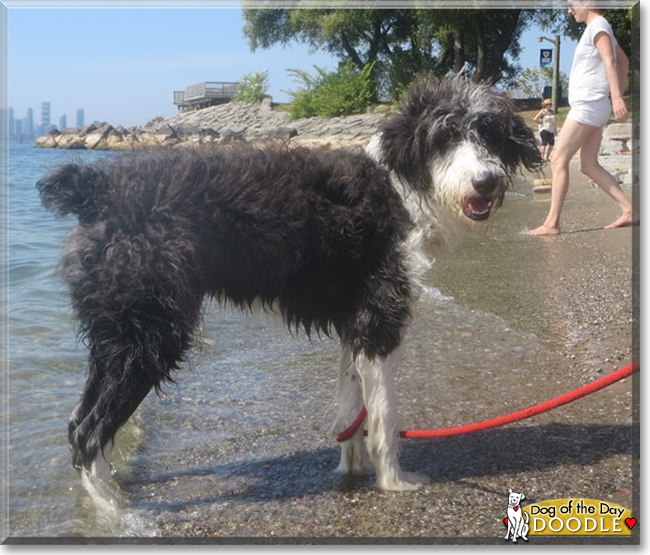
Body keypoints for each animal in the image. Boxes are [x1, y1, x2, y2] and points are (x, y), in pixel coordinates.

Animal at [38, 77, 540, 496]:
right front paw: (394, 480)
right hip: (149, 335)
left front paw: (352, 468)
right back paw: (112, 509)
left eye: (490, 133)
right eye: (445, 135)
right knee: (89, 433)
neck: (398, 186)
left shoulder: (355, 322)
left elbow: (351, 408)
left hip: (118, 334)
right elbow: (383, 416)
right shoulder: (379, 318)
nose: (486, 182)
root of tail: (97, 187)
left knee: (78, 423)